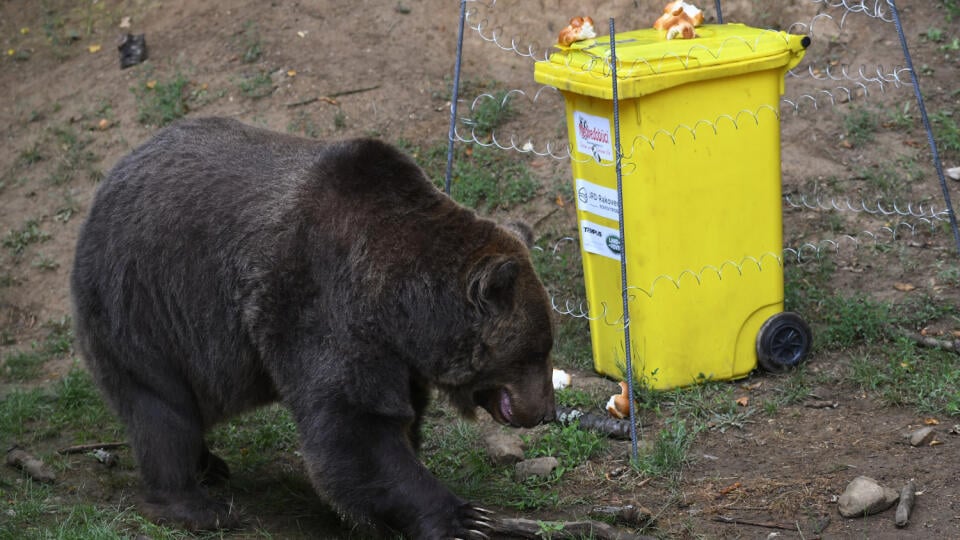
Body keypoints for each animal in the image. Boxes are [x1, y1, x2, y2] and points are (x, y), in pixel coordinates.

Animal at [73, 116, 556, 536]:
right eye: (535, 351)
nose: (545, 411)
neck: (399, 305)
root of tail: (107, 183)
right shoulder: (321, 303)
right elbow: (354, 427)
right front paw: (465, 518)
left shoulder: (395, 352)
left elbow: (396, 417)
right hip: (146, 306)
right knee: (161, 411)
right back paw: (196, 506)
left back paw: (211, 466)